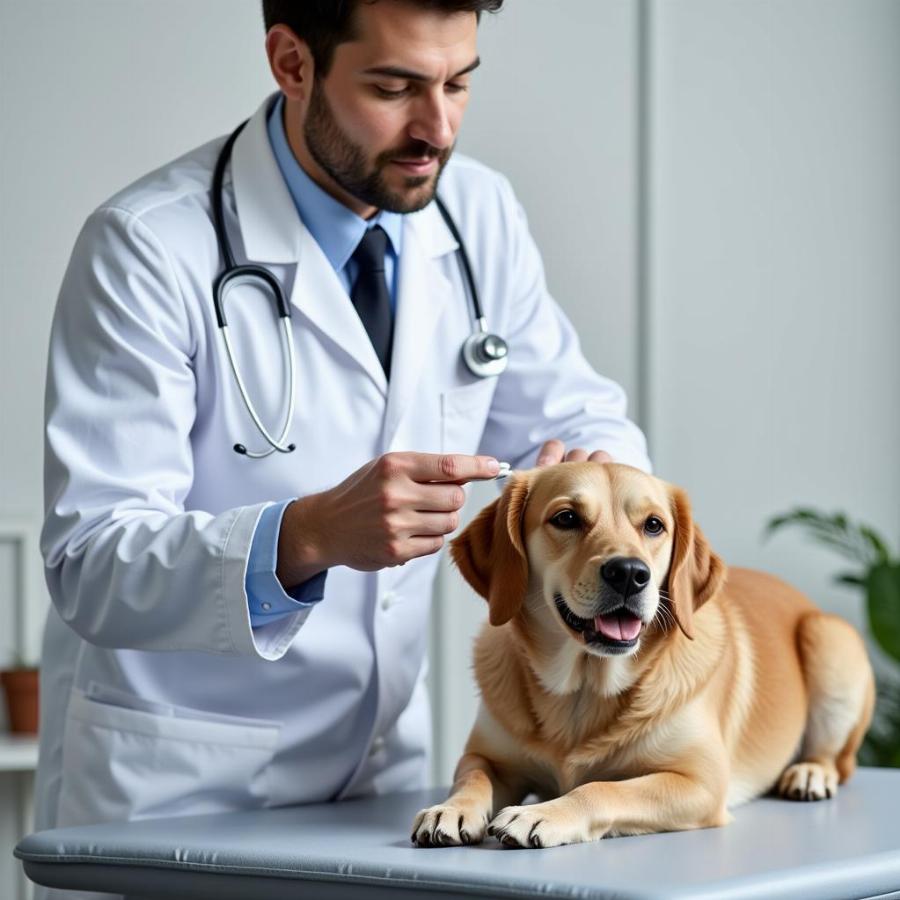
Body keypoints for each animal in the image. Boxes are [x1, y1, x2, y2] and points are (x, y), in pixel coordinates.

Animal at [412, 460, 876, 848]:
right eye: (566, 518)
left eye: (654, 525)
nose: (629, 574)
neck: (584, 689)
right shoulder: (487, 756)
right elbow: (472, 777)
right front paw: (451, 809)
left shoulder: (699, 781)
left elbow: (600, 788)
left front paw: (538, 814)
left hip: (830, 640)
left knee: (839, 761)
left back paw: (810, 773)